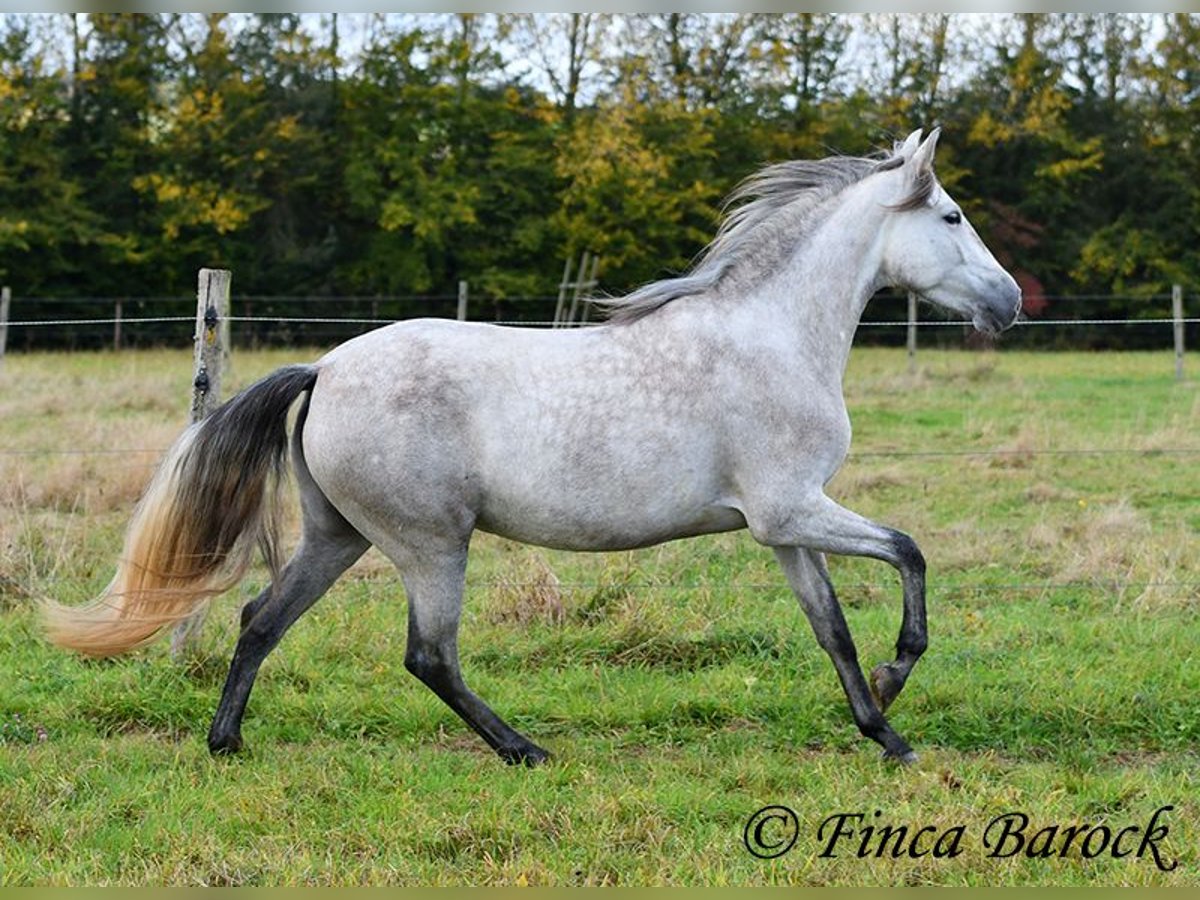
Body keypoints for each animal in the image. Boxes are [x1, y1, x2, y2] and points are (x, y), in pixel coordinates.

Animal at [49, 130, 1022, 768]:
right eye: (951, 214)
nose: (1010, 301)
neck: (770, 334)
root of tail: (324, 368)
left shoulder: (784, 528)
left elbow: (832, 631)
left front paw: (884, 729)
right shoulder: (792, 509)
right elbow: (910, 553)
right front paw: (898, 682)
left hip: (341, 535)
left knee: (261, 619)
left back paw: (226, 742)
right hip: (431, 544)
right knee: (428, 656)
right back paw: (525, 750)